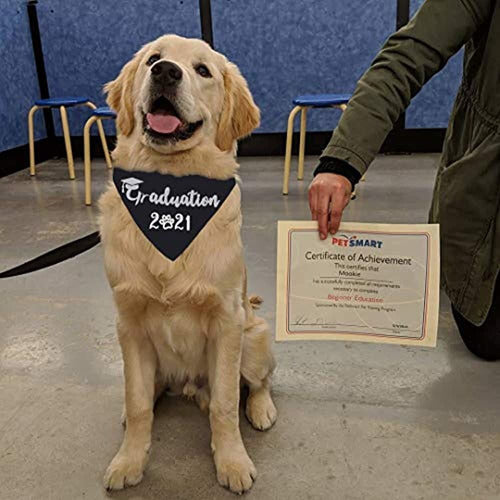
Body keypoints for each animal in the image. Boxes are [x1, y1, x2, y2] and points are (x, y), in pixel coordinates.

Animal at [97, 34, 278, 492]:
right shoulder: (129, 322)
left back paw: (262, 409)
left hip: (254, 339)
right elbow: (139, 403)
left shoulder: (228, 321)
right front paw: (129, 461)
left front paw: (232, 462)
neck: (171, 188)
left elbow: (226, 405)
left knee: (258, 382)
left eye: (202, 70)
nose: (165, 72)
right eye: (153, 59)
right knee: (146, 394)